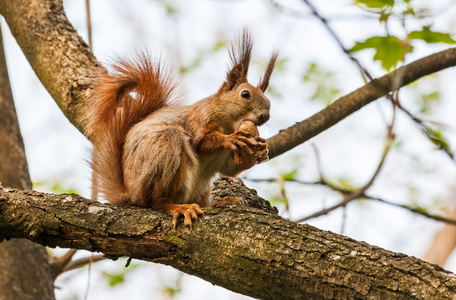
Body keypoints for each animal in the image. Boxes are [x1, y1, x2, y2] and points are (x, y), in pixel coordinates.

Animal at [85, 31, 278, 227]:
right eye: (245, 94)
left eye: (269, 102)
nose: (265, 116)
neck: (229, 125)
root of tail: (131, 193)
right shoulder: (198, 120)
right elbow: (202, 142)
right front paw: (231, 139)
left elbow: (229, 169)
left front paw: (262, 150)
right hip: (163, 152)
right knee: (155, 201)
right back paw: (178, 207)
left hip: (201, 187)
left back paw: (221, 202)